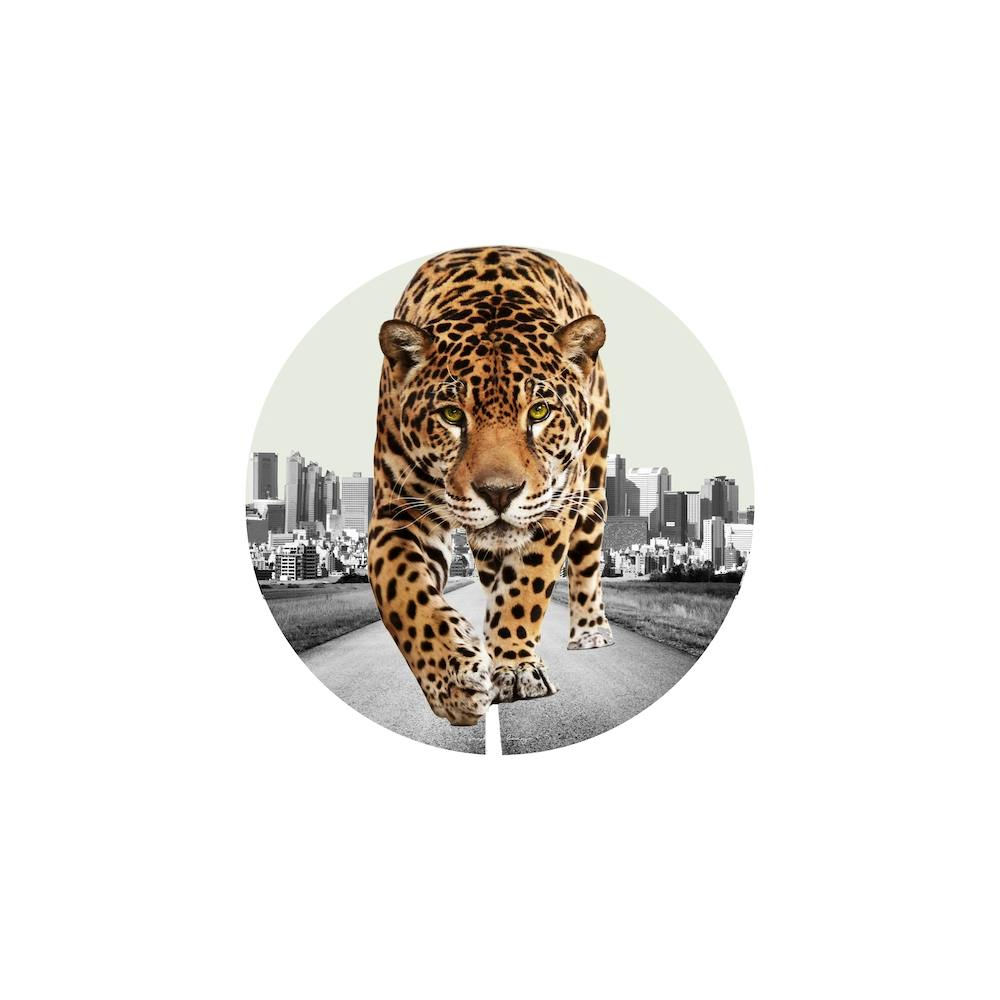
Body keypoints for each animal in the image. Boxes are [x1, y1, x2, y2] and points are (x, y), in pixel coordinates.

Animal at [368, 247, 613, 726]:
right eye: (452, 415)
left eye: (539, 411)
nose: (500, 493)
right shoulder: (398, 510)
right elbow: (403, 595)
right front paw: (453, 681)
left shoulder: (552, 507)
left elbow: (525, 588)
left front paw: (516, 668)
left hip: (590, 485)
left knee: (587, 557)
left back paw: (590, 631)